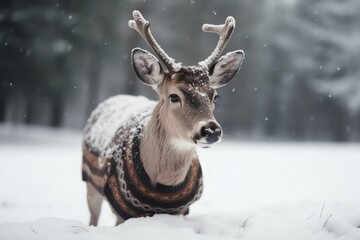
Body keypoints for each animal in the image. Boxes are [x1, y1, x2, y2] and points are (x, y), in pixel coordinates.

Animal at [81, 10, 245, 226]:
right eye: (174, 96)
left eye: (215, 96)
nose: (211, 130)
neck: (164, 183)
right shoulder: (121, 209)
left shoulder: (182, 210)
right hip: (90, 182)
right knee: (93, 217)